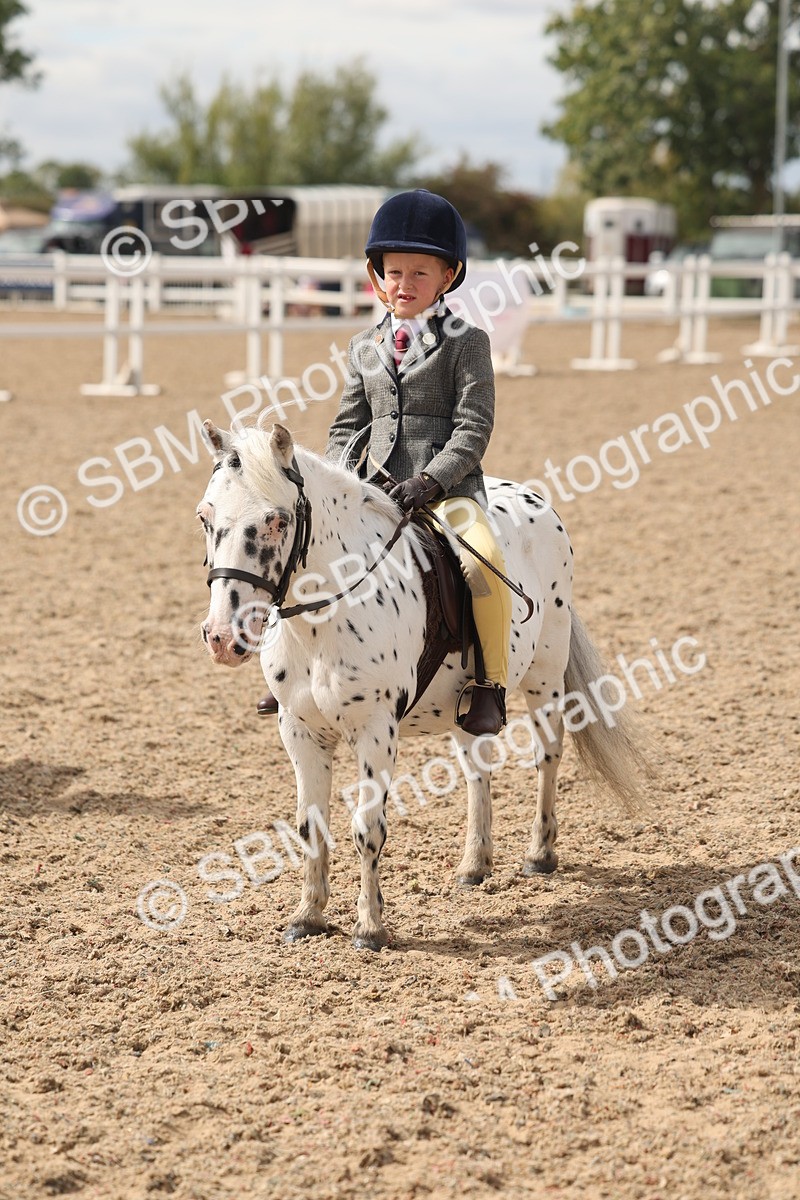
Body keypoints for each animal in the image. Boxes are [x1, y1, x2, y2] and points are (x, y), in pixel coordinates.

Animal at [197, 420, 649, 950]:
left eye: (276, 520)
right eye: (205, 517)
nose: (221, 637)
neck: (324, 619)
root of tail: (533, 497)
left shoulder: (375, 730)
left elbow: (367, 828)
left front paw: (370, 927)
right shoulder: (299, 730)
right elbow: (311, 826)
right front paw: (307, 916)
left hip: (545, 674)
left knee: (548, 755)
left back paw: (539, 855)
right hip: (469, 705)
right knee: (477, 770)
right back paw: (474, 865)